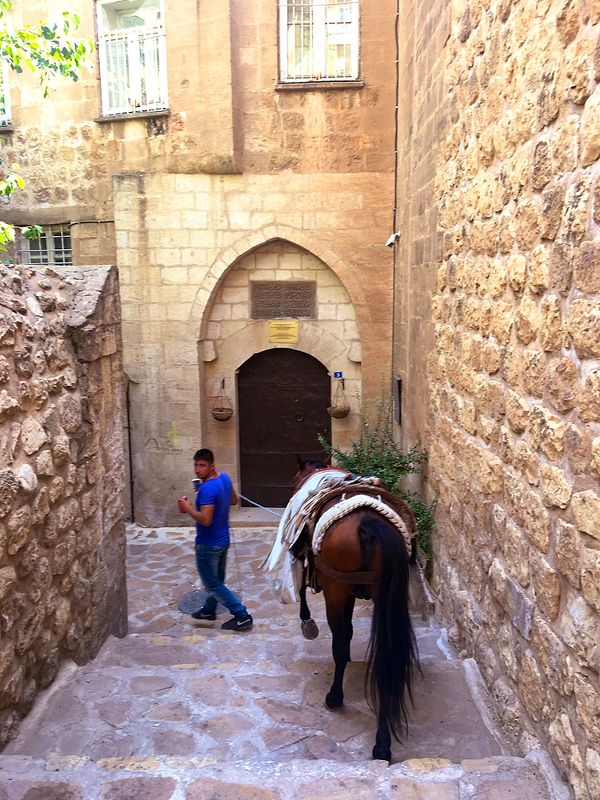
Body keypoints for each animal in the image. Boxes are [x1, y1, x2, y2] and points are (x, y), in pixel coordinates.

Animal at [290, 460, 418, 760]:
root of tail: (367, 522)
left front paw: (307, 623)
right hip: (387, 593)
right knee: (387, 656)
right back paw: (382, 744)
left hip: (337, 589)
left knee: (339, 640)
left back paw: (335, 697)